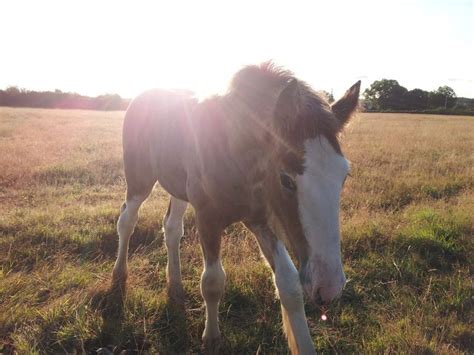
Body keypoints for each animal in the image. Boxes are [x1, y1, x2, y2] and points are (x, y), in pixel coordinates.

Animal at [112, 62, 360, 354]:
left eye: (344, 176)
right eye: (286, 179)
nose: (329, 287)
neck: (232, 151)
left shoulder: (262, 220)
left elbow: (289, 284)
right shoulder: (207, 218)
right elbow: (212, 281)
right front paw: (212, 338)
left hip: (178, 187)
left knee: (172, 228)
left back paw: (174, 284)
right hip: (139, 180)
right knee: (127, 221)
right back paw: (119, 276)